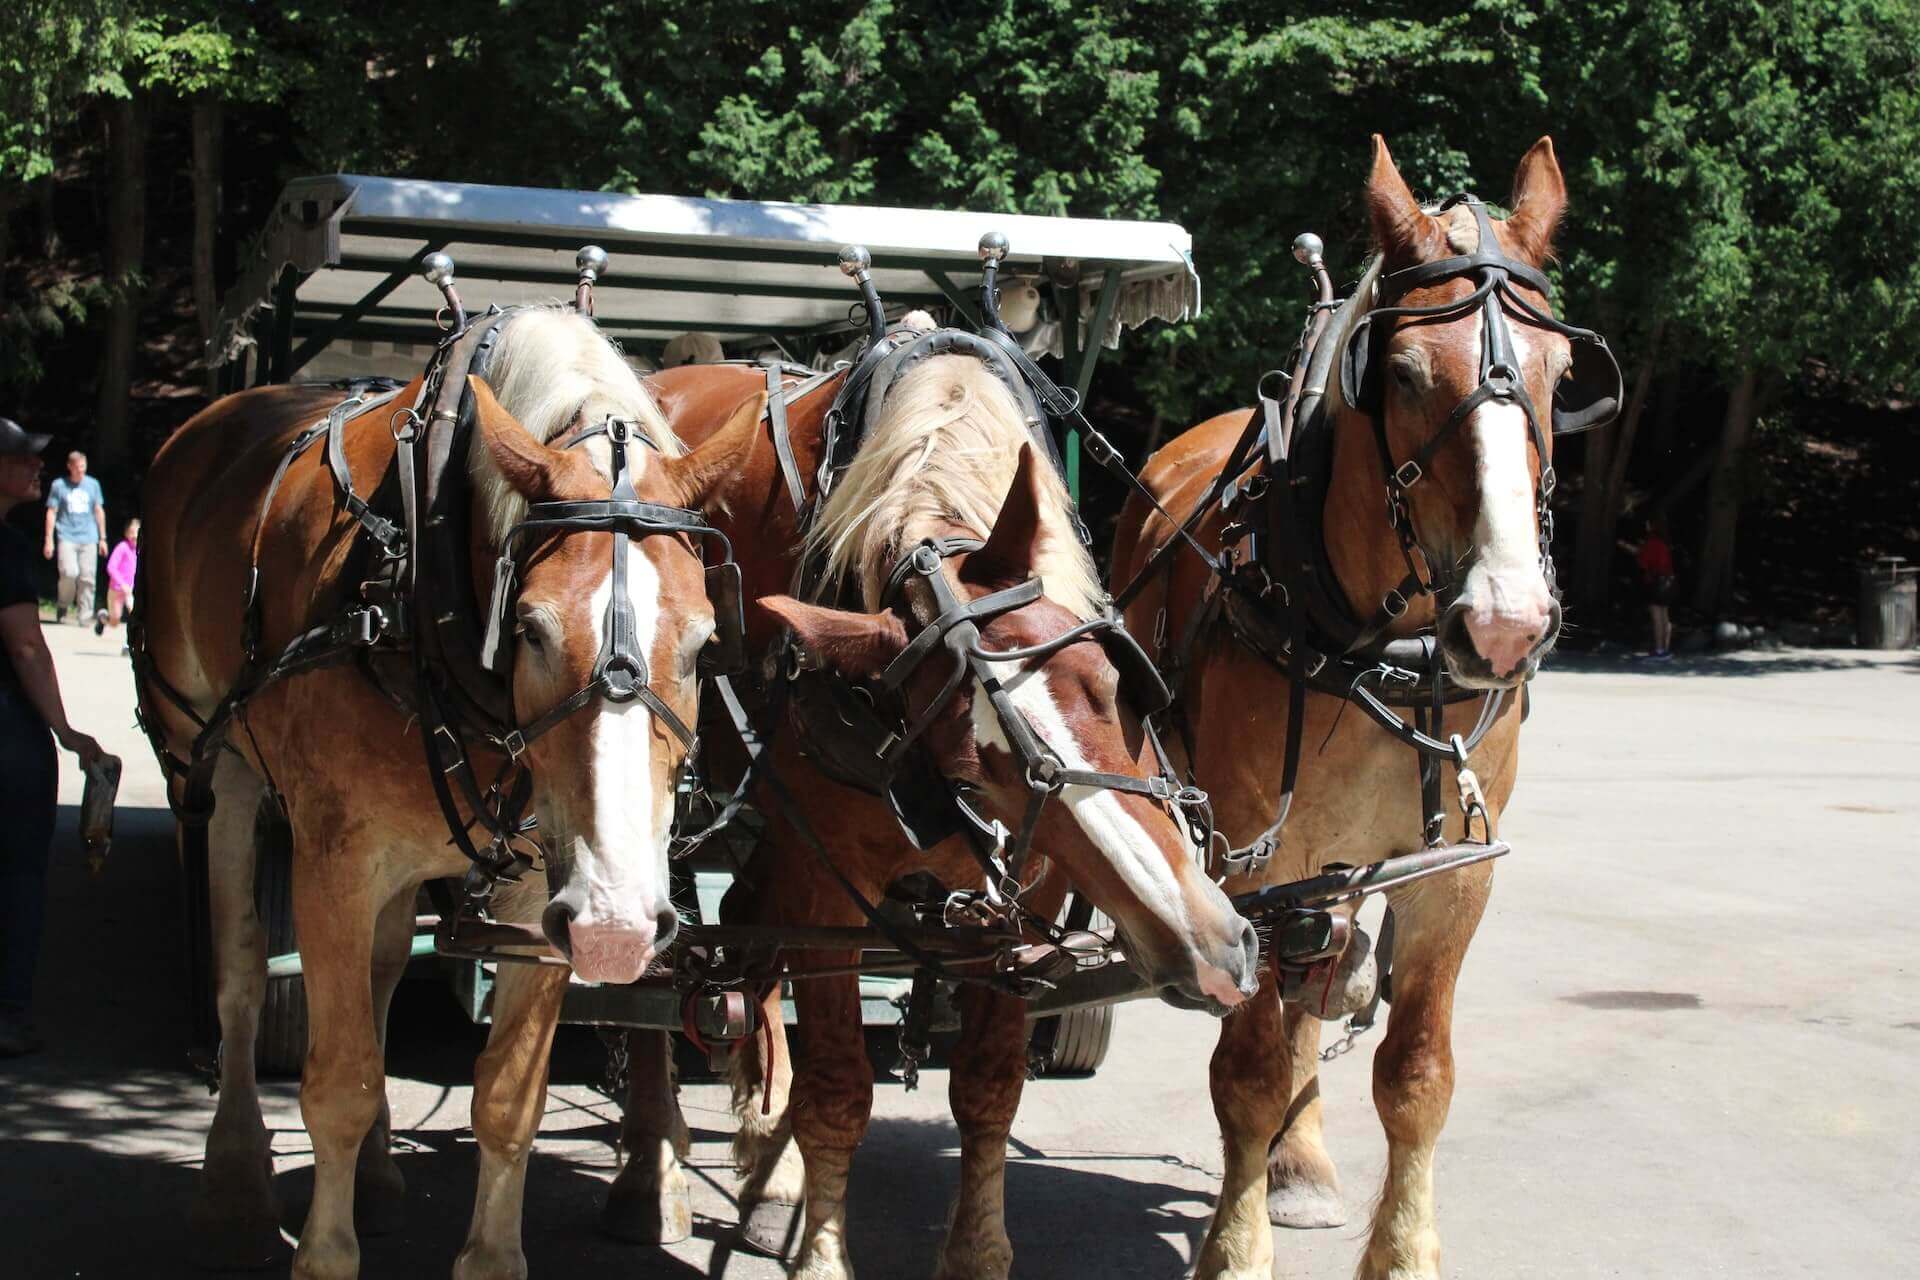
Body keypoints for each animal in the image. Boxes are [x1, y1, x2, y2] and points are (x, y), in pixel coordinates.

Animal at [139, 310, 764, 1280]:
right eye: (532, 629)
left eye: (703, 643)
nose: (620, 928)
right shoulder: (334, 861)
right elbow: (340, 1079)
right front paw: (324, 1255)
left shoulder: (545, 889)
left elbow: (507, 1097)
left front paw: (489, 1254)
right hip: (214, 770)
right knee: (240, 972)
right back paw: (235, 1182)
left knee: (386, 968)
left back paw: (375, 1177)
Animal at [610, 353, 1259, 1280]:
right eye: (970, 772)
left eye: (1111, 681)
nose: (1213, 948)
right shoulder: (829, 892)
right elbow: (838, 1089)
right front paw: (823, 1254)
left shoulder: (1028, 901)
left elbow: (989, 1083)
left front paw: (976, 1251)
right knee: (654, 965)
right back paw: (654, 1171)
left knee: (741, 928)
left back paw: (769, 1174)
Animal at [1113, 135, 1574, 1274]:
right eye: (1403, 375)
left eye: (1562, 374)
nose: (1505, 621)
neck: (1375, 650)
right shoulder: (1250, 862)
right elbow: (1247, 1069)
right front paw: (1234, 1248)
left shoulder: (1450, 876)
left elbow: (1416, 1075)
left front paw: (1403, 1248)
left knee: (1318, 990)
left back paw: (1304, 1161)